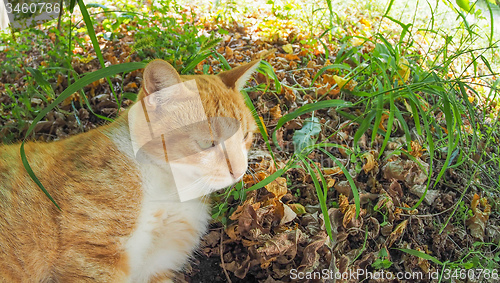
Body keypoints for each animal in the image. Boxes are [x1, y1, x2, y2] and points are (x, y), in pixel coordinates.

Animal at [0, 58, 258, 282]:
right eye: (207, 143)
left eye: (245, 135)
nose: (239, 170)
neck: (171, 192)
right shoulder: (94, 260)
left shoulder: (157, 266)